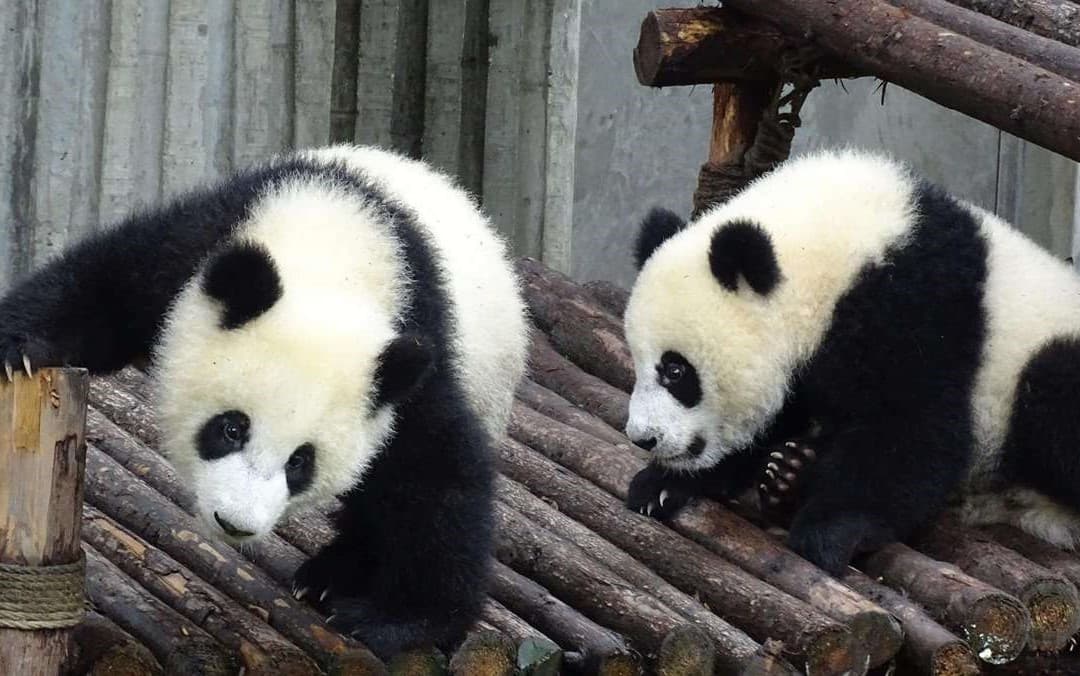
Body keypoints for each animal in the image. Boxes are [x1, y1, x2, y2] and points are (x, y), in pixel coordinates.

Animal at [0, 144, 529, 657]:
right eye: (232, 427)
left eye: (301, 462)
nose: (234, 523)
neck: (333, 254)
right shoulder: (200, 248)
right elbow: (104, 286)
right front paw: (21, 347)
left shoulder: (405, 361)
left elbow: (434, 472)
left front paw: (399, 621)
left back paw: (334, 574)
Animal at [623, 148, 1080, 575]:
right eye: (640, 361)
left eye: (675, 370)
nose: (643, 438)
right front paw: (662, 485)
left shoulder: (920, 308)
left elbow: (911, 429)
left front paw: (828, 532)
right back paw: (788, 476)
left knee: (1051, 391)